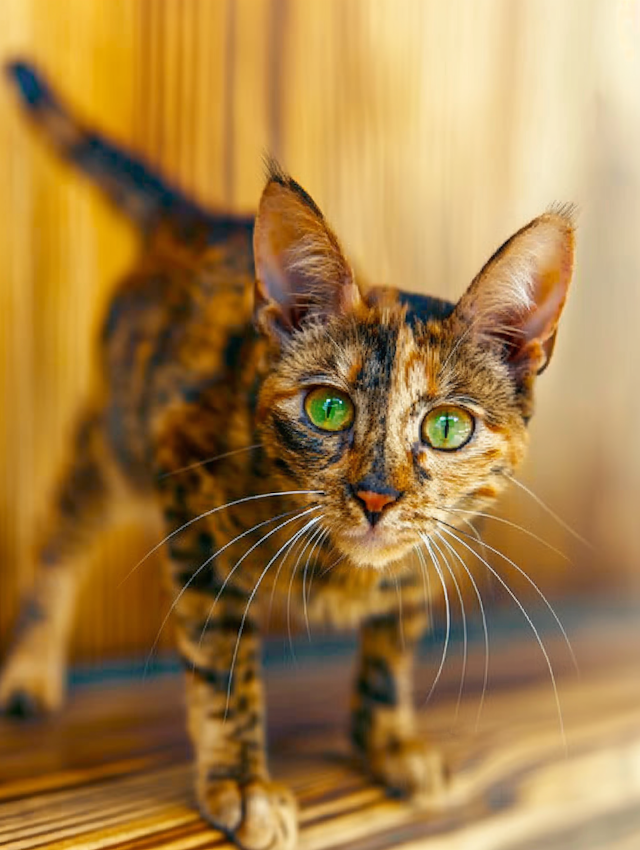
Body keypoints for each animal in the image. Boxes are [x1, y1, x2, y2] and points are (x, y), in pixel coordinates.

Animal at [0, 61, 576, 848]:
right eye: (327, 409)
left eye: (447, 427)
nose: (376, 495)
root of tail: (197, 218)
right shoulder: (190, 501)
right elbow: (224, 660)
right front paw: (241, 782)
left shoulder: (433, 547)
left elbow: (392, 646)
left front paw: (388, 743)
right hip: (116, 437)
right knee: (61, 532)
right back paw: (29, 669)